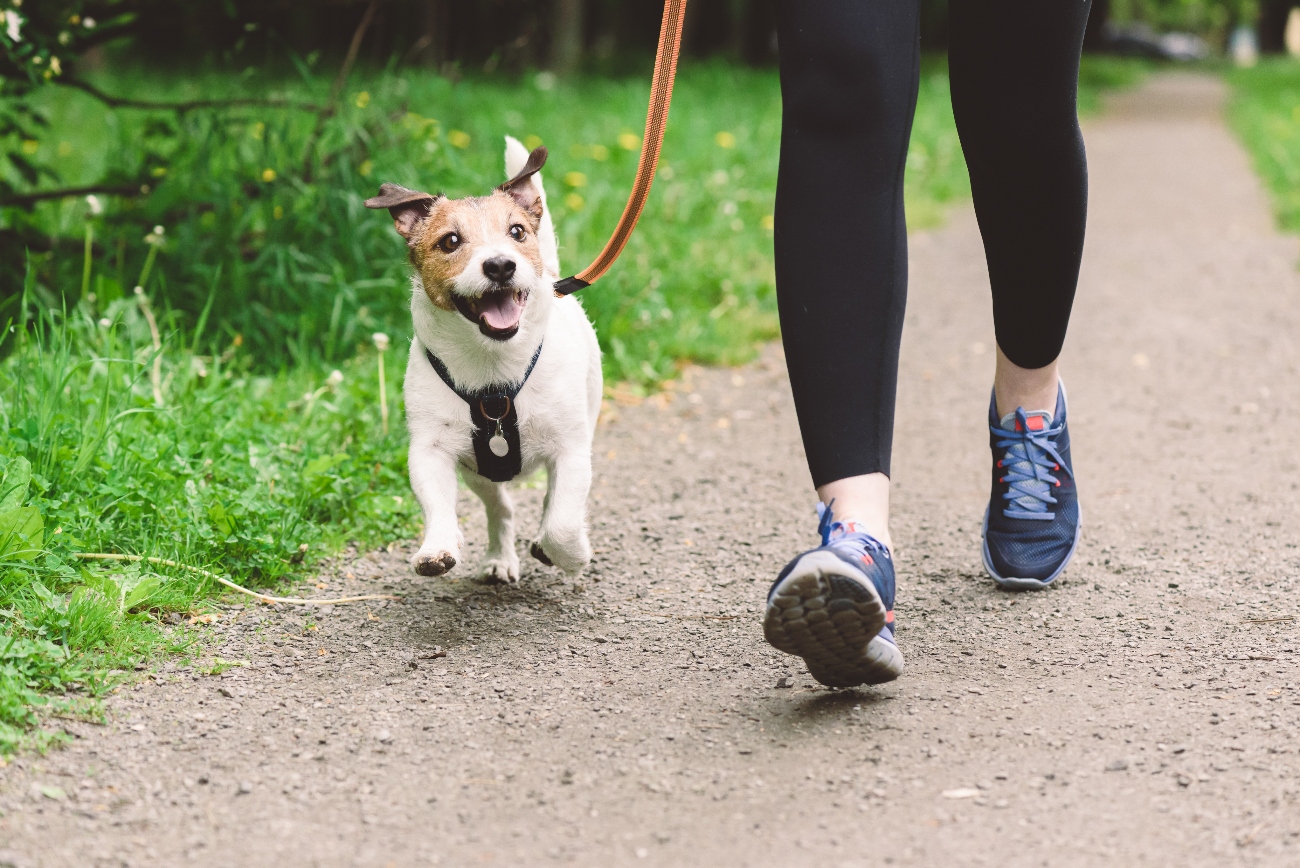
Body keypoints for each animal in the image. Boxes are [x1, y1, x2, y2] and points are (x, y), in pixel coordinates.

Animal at [364, 137, 600, 582]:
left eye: (517, 232)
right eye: (450, 241)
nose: (500, 264)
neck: (493, 372)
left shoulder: (572, 449)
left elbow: (562, 522)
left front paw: (571, 554)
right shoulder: (431, 449)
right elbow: (438, 504)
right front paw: (436, 547)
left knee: (552, 503)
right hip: (480, 473)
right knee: (500, 507)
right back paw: (499, 557)